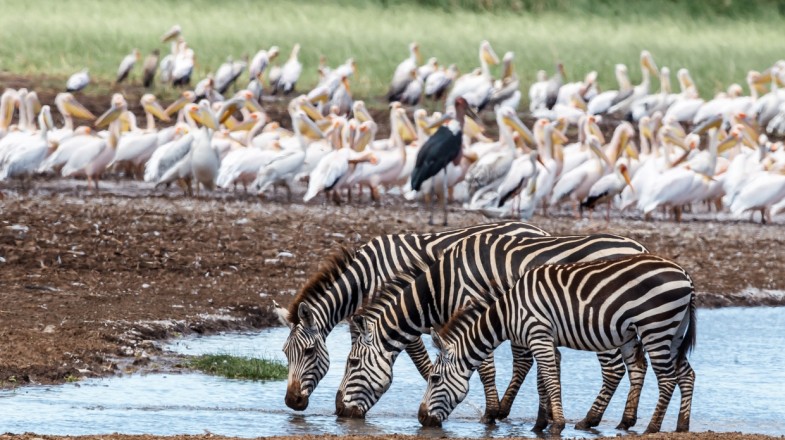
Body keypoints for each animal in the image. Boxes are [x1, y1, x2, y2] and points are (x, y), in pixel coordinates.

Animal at [272, 222, 548, 414]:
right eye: (285, 353)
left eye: (308, 352)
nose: (292, 402)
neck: (365, 278)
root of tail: (537, 229)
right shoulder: (365, 321)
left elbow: (422, 364)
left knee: (523, 361)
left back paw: (501, 411)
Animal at [340, 234, 648, 426]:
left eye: (352, 363)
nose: (339, 411)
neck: (442, 286)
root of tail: (640, 248)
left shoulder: (473, 310)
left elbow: (484, 368)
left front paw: (490, 413)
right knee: (636, 365)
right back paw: (624, 420)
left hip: (604, 324)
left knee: (614, 369)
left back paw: (591, 420)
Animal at [420, 253, 696, 434]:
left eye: (434, 378)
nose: (422, 418)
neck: (509, 311)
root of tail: (685, 274)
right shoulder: (546, 340)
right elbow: (543, 381)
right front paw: (540, 424)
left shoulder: (539, 335)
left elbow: (550, 379)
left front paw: (556, 425)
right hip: (673, 332)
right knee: (686, 374)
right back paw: (682, 425)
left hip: (655, 328)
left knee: (667, 379)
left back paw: (652, 427)